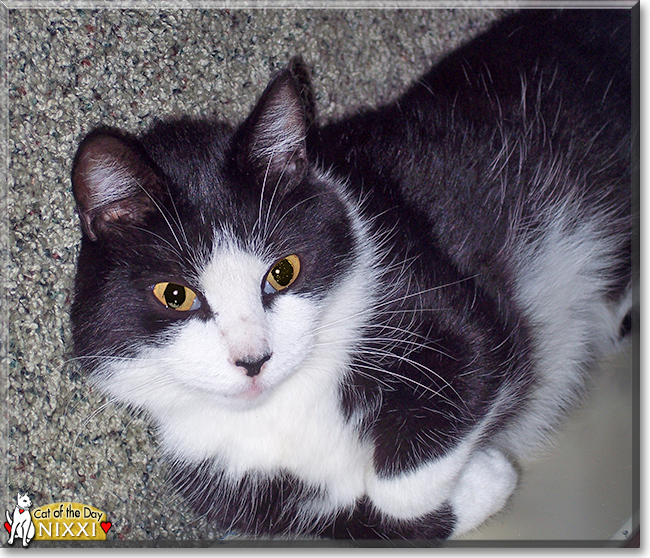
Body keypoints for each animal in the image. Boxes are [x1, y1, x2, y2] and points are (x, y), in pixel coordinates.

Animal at [68, 8, 632, 544]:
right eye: (176, 295)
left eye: (283, 271)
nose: (253, 361)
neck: (285, 405)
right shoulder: (225, 481)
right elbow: (348, 520)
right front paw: (482, 485)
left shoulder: (432, 288)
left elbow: (472, 367)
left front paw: (486, 475)